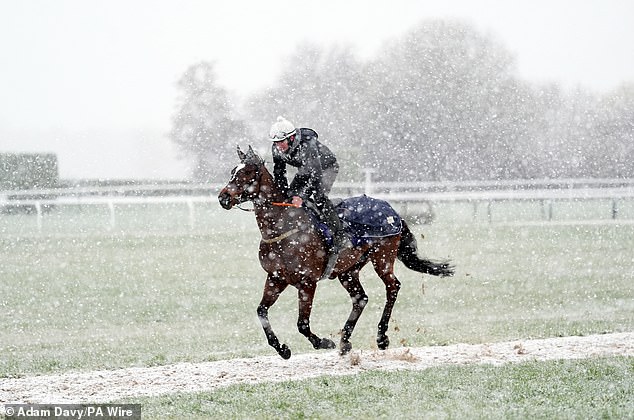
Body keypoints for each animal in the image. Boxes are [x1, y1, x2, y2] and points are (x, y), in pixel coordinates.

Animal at [218, 146, 454, 360]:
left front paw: (323, 342)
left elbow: (302, 324)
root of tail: (391, 209)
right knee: (361, 298)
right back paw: (345, 341)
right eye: (232, 171)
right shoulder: (276, 278)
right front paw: (283, 349)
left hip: (383, 257)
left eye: (248, 173)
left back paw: (381, 337)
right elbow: (261, 312)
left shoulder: (307, 282)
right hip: (348, 270)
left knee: (393, 287)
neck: (284, 228)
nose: (223, 198)